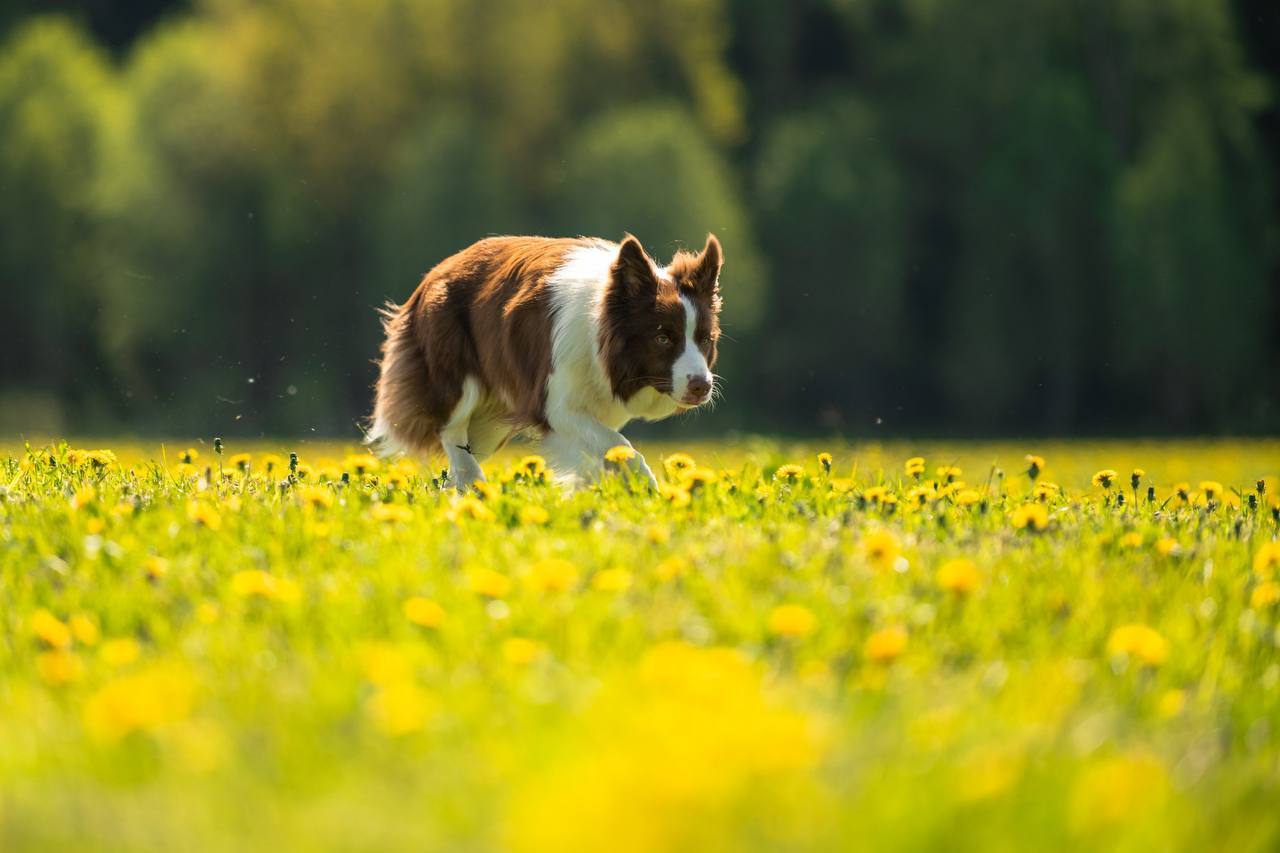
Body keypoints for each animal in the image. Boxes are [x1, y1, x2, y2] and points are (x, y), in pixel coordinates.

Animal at [371, 233, 727, 489]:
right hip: (454, 370)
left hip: (492, 421)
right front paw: (649, 494)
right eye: (662, 338)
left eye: (705, 339)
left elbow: (603, 453)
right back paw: (474, 485)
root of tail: (434, 273)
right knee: (452, 431)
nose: (702, 386)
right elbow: (621, 448)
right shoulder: (554, 402)